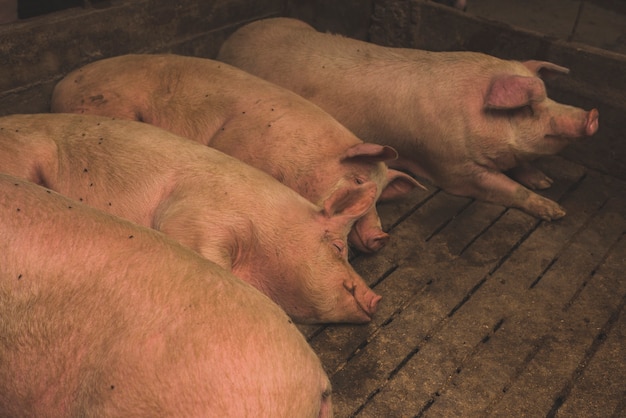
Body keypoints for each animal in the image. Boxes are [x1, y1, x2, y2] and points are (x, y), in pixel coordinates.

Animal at [216, 18, 600, 222]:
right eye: (527, 108)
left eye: (549, 96)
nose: (592, 115)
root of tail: (233, 36)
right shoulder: (452, 168)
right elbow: (502, 186)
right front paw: (556, 210)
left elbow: (520, 167)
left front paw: (546, 183)